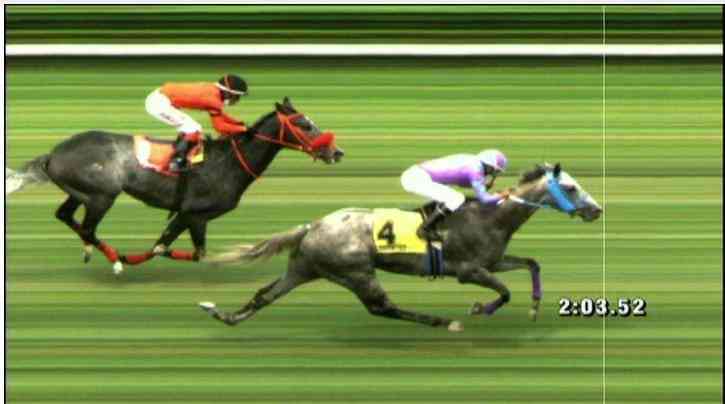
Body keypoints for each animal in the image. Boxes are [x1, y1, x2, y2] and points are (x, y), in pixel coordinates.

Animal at [5, 97, 344, 275]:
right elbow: (181, 250)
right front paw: (133, 257)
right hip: (102, 195)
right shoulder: (193, 214)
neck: (228, 163)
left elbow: (173, 247)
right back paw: (114, 260)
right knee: (88, 228)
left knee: (65, 215)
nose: (336, 152)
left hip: (81, 193)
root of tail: (53, 153)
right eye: (304, 125)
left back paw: (96, 252)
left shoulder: (191, 217)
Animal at [199, 163, 602, 332]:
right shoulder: (469, 270)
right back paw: (443, 322)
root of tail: (312, 226)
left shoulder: (494, 261)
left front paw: (534, 307)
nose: (597, 210)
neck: (492, 217)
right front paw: (478, 308)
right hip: (358, 272)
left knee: (266, 294)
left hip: (305, 268)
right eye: (570, 188)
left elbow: (532, 263)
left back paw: (228, 317)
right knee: (382, 307)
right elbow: (502, 293)